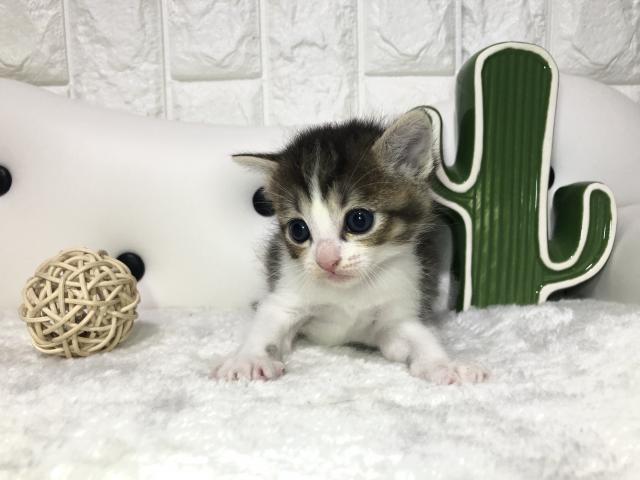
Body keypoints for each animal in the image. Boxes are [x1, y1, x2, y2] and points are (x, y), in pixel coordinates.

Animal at [212, 108, 488, 385]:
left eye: (359, 220)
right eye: (298, 230)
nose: (326, 261)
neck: (350, 292)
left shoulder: (400, 310)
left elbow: (421, 336)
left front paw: (445, 364)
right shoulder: (285, 291)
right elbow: (266, 322)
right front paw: (248, 359)